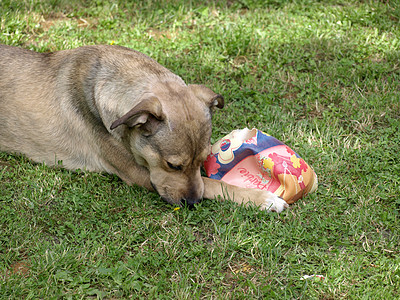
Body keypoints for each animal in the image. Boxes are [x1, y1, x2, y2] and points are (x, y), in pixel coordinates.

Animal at [0, 45, 288, 213]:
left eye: (204, 159)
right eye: (173, 166)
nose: (192, 203)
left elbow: (207, 180)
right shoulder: (139, 174)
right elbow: (212, 185)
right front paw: (264, 199)